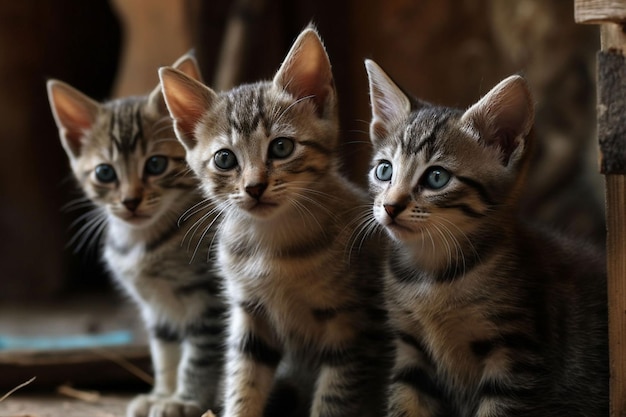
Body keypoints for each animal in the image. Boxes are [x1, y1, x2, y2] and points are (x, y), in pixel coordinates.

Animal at [48, 54, 224, 416]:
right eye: (105, 173)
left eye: (155, 165)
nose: (130, 201)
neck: (143, 244)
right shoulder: (157, 309)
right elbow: (165, 354)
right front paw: (162, 394)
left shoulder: (209, 300)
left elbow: (199, 357)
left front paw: (186, 401)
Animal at [157, 28, 390, 416]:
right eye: (224, 159)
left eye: (281, 147)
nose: (254, 187)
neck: (271, 243)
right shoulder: (250, 316)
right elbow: (243, 379)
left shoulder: (355, 327)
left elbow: (335, 398)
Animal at [364, 59, 608, 416]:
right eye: (384, 171)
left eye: (436, 177)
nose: (391, 206)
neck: (430, 276)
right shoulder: (410, 352)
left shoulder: (516, 359)